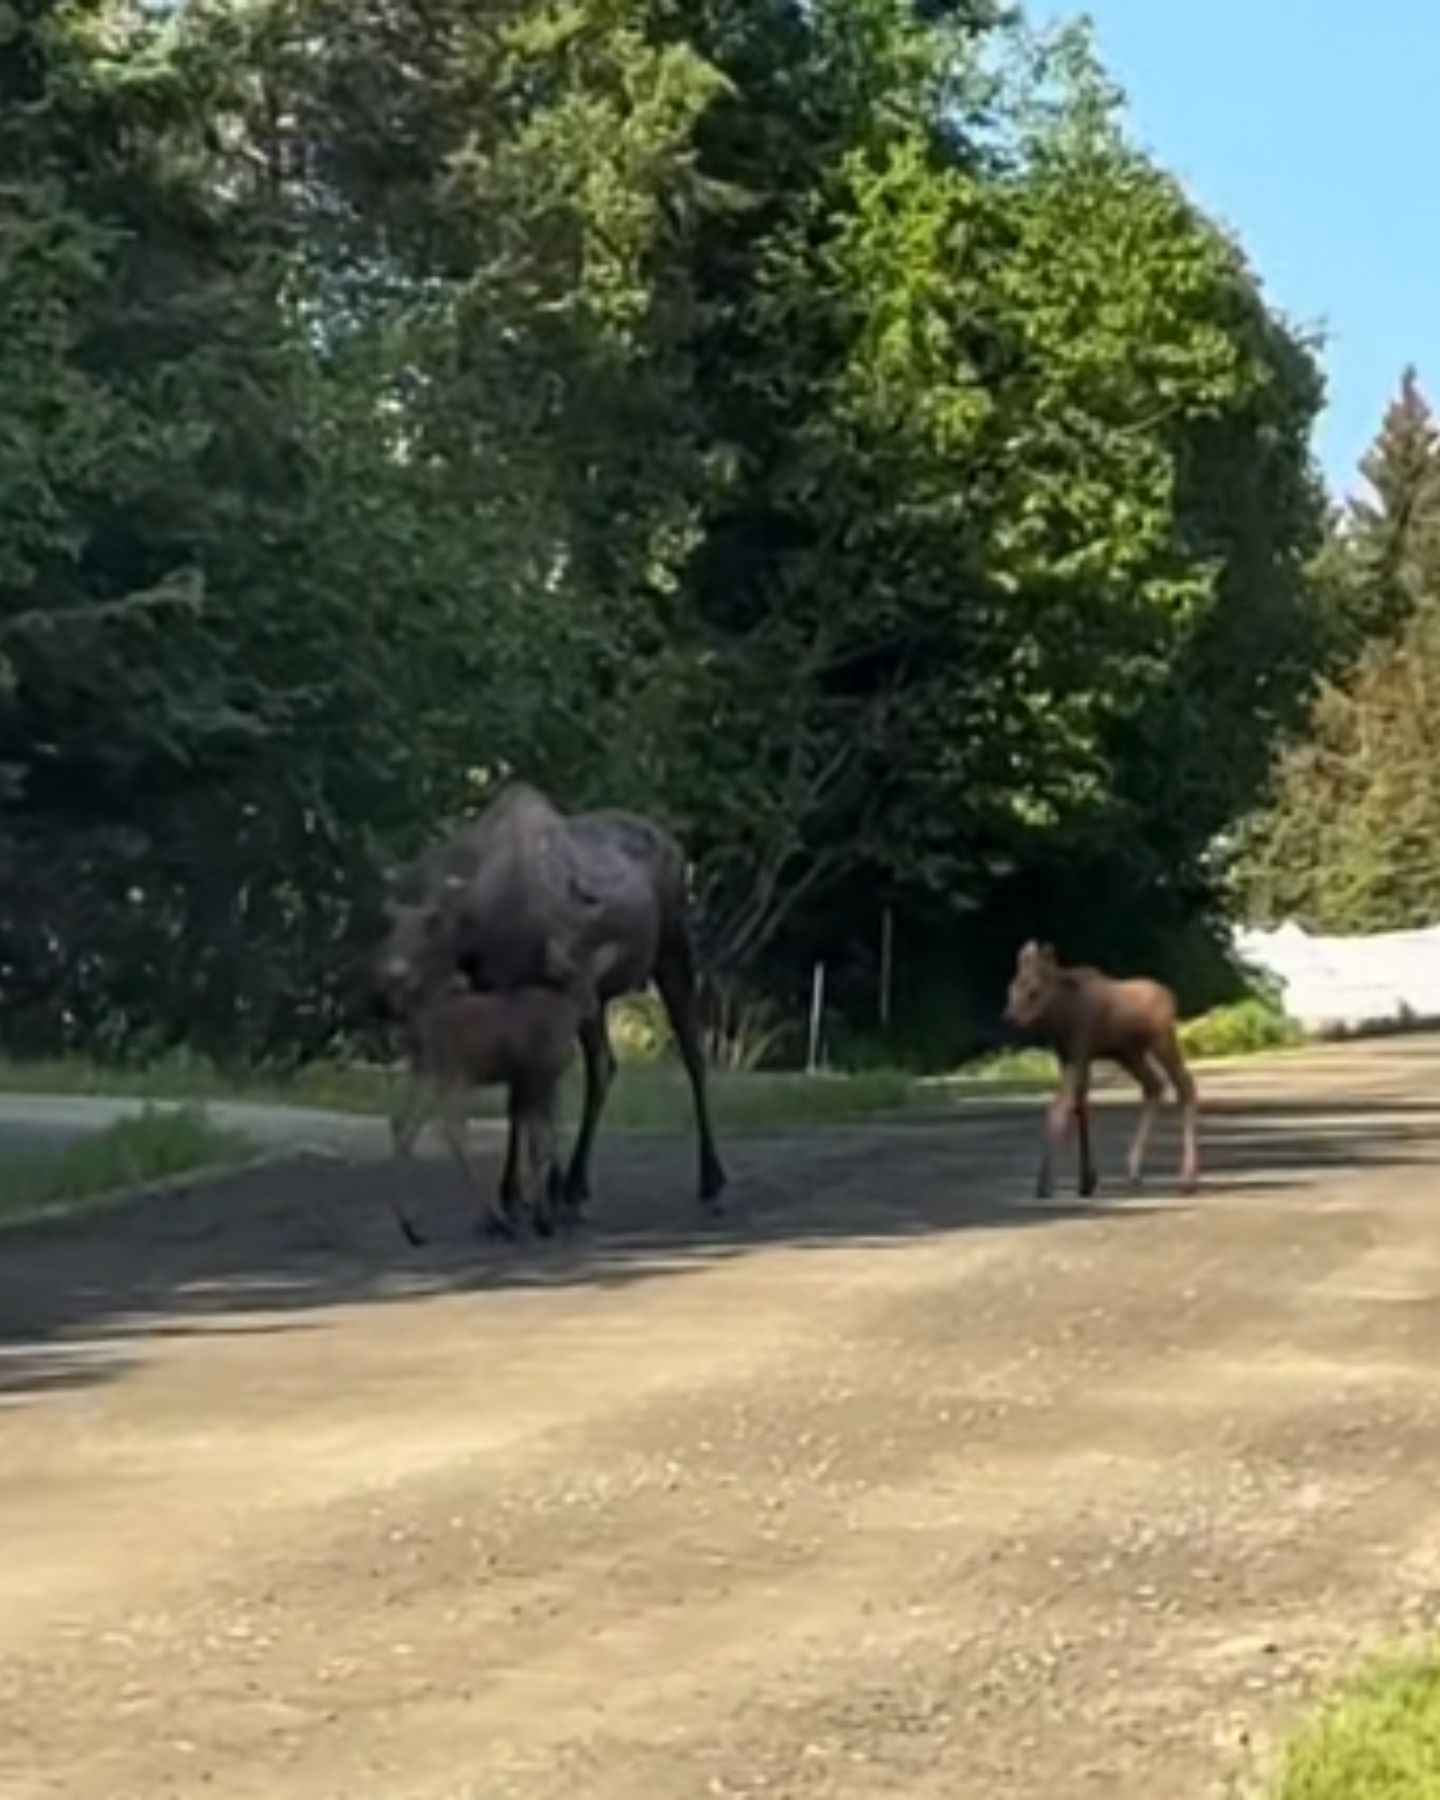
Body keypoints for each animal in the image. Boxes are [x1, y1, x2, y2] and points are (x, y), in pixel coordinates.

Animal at [1003, 940, 1200, 1201]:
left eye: (1033, 991)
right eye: (1012, 988)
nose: (1009, 1018)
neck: (1061, 1019)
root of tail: (1171, 996)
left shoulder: (1080, 1051)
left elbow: (1059, 1110)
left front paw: (1045, 1184)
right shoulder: (1068, 1056)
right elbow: (1080, 1106)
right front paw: (1087, 1180)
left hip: (1162, 1040)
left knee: (1185, 1085)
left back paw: (1187, 1178)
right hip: (1129, 1053)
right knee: (1154, 1085)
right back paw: (1134, 1171)